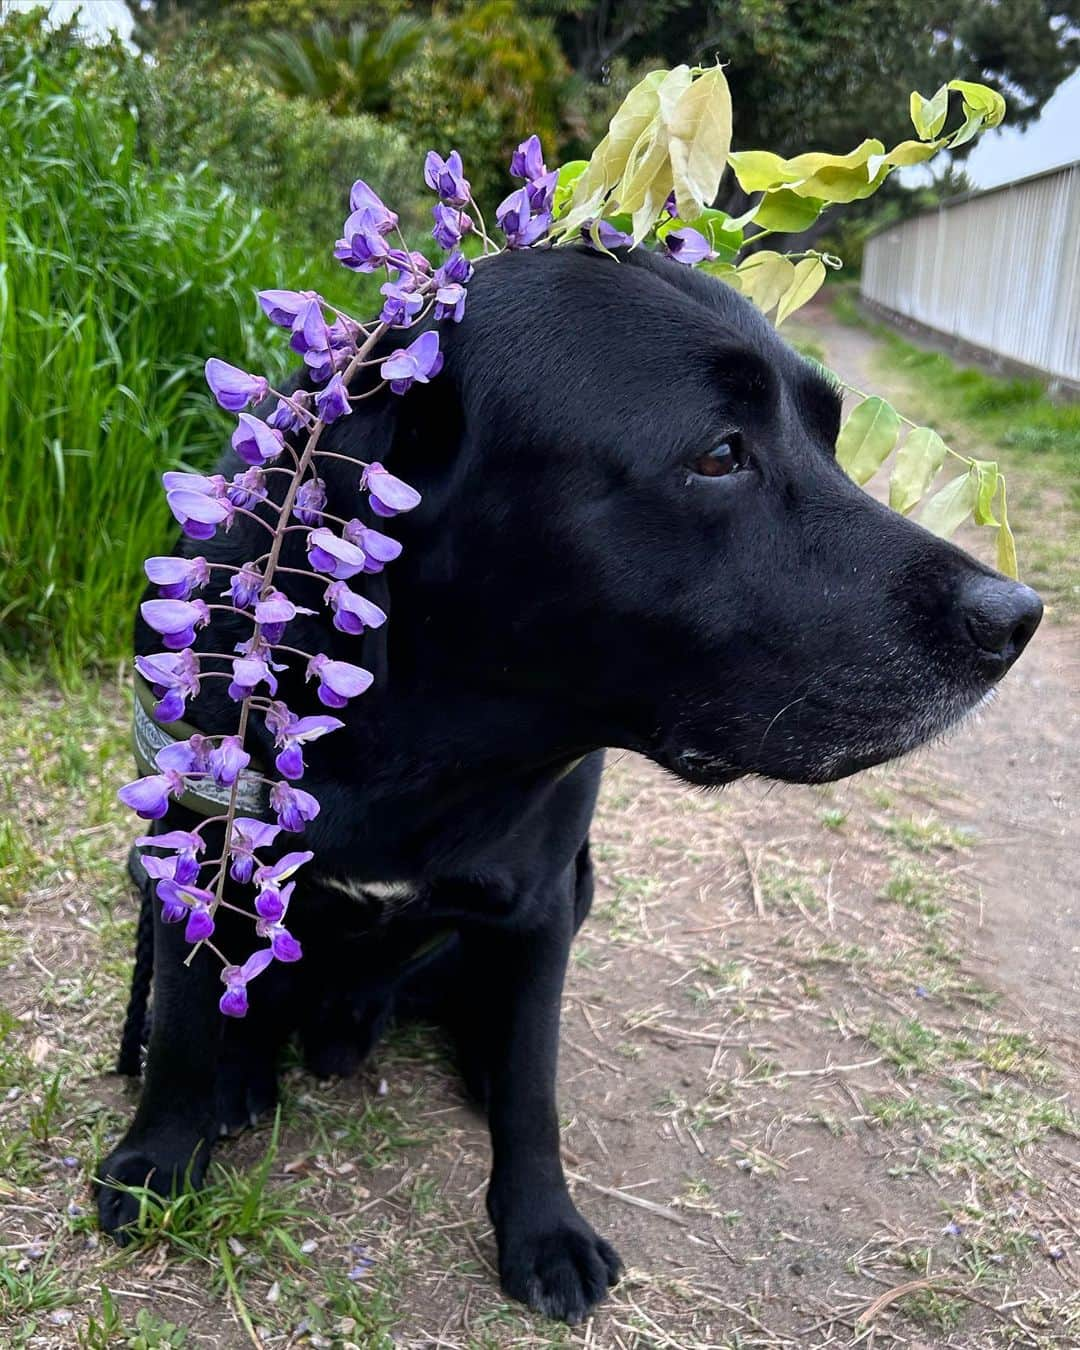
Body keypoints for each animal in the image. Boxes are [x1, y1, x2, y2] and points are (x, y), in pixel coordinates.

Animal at [97, 245, 1042, 1317]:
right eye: (720, 453)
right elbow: (179, 1021)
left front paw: (543, 1229)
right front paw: (158, 1161)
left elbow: (532, 1091)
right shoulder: (197, 830)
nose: (1016, 618)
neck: (417, 728)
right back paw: (242, 1074)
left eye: (832, 438)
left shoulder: (542, 903)